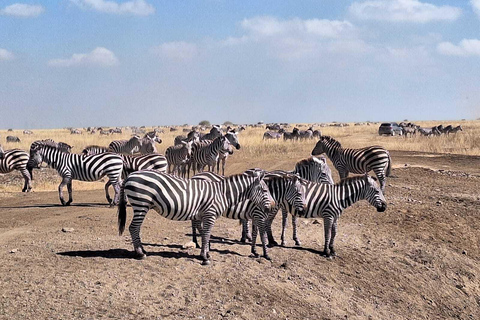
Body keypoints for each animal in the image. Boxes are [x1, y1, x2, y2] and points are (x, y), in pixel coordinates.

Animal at [116, 169, 276, 264]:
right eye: (264, 190)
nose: (272, 206)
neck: (222, 194)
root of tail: (130, 175)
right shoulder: (210, 214)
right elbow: (206, 234)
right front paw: (205, 257)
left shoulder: (203, 215)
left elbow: (205, 234)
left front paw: (205, 253)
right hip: (141, 204)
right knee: (133, 228)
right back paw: (140, 253)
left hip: (140, 205)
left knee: (135, 228)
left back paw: (143, 251)